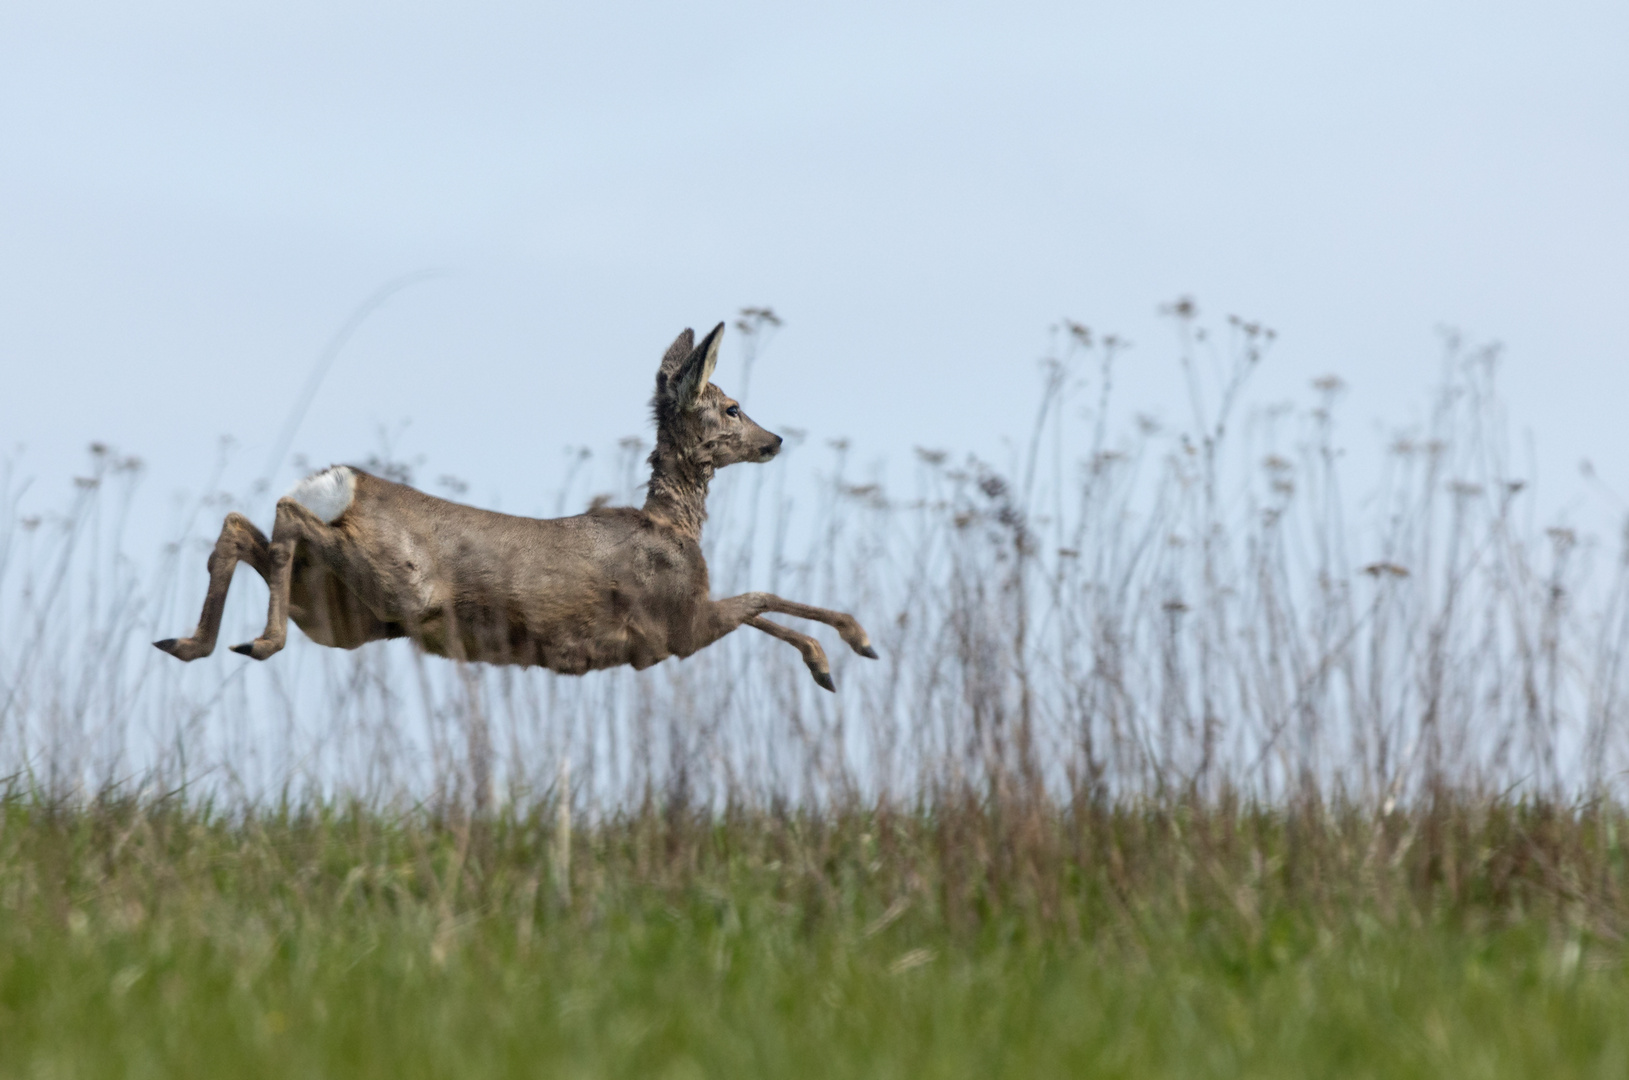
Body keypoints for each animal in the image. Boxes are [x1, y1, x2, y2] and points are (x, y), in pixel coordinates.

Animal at [155, 322, 879, 693]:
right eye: (731, 406)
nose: (774, 440)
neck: (670, 528)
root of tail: (340, 483)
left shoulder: (681, 624)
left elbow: (763, 608)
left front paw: (831, 661)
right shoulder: (673, 629)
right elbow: (762, 599)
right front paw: (850, 644)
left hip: (340, 614)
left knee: (242, 527)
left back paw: (189, 642)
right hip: (395, 585)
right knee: (282, 516)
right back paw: (257, 641)